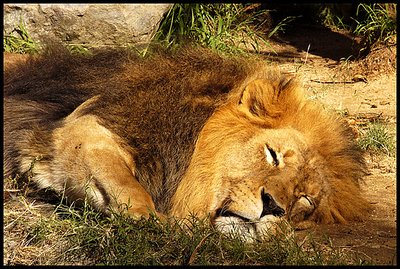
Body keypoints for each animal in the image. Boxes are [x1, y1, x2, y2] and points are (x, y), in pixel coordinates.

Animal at [3, 44, 372, 241]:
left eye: (305, 200)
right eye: (273, 155)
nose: (273, 207)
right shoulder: (81, 127)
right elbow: (126, 182)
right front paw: (151, 219)